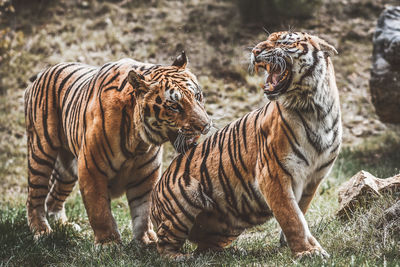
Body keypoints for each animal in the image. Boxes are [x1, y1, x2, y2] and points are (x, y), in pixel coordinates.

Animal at [24, 51, 212, 247]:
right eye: (174, 106)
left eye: (198, 96)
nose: (205, 126)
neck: (138, 142)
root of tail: (44, 72)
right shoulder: (92, 169)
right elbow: (99, 210)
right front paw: (109, 242)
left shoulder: (146, 175)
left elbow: (144, 210)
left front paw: (145, 239)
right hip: (41, 152)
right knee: (34, 196)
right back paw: (42, 231)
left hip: (68, 168)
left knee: (54, 196)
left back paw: (64, 225)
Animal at [152, 31, 342, 260]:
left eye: (283, 41)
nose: (255, 50)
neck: (315, 109)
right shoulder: (273, 174)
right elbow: (292, 217)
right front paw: (308, 252)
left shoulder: (313, 178)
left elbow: (300, 212)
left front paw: (290, 244)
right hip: (186, 197)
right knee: (163, 244)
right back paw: (180, 257)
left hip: (229, 224)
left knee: (205, 246)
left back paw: (234, 251)